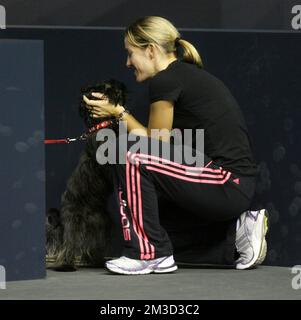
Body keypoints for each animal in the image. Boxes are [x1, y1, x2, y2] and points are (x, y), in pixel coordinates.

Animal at [45, 79, 126, 270]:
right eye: (106, 88)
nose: (121, 84)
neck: (102, 125)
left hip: (100, 223)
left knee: (90, 245)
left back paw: (96, 261)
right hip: (74, 222)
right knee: (68, 244)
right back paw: (65, 265)